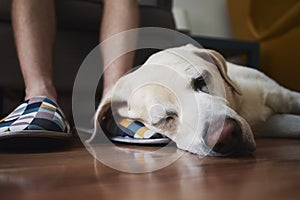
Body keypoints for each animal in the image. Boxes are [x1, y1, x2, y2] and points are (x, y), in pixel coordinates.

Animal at [94, 44, 300, 157]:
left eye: (201, 81)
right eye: (164, 120)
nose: (225, 136)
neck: (241, 106)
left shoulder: (286, 97)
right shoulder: (271, 124)